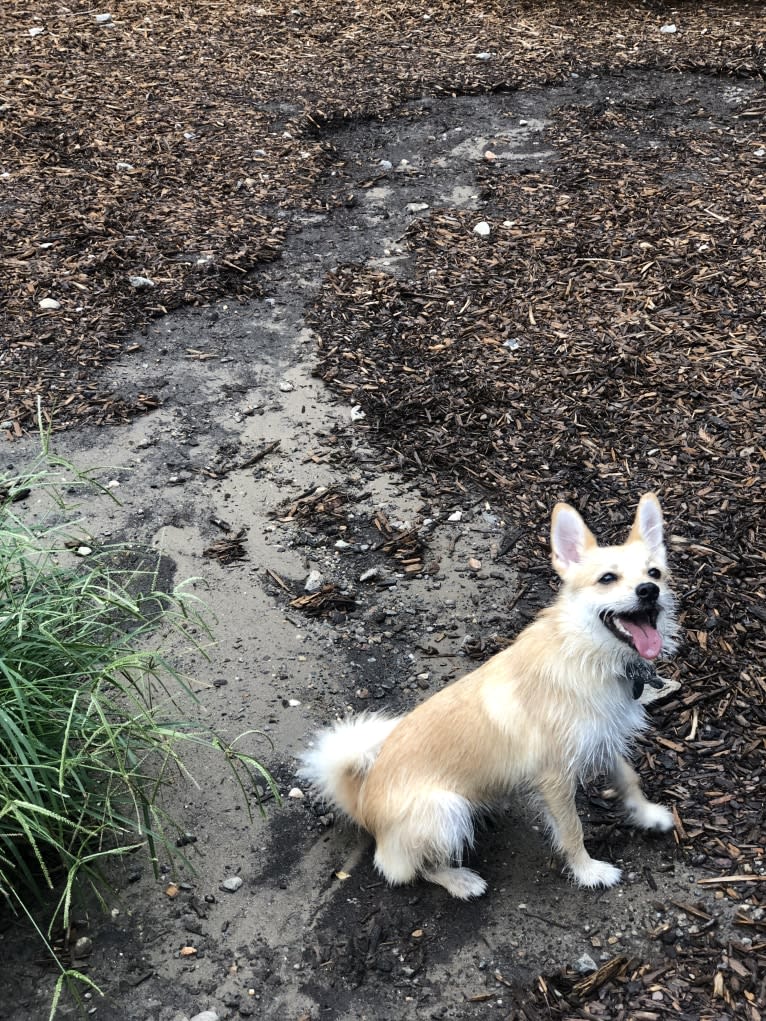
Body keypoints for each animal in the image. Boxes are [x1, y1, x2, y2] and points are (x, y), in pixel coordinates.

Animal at [300, 494, 678, 902]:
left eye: (654, 573)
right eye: (607, 578)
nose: (649, 591)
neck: (586, 653)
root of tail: (363, 805)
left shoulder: (604, 740)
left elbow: (628, 778)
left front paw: (647, 814)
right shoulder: (555, 777)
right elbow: (571, 829)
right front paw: (587, 870)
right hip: (446, 809)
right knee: (411, 869)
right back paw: (459, 880)